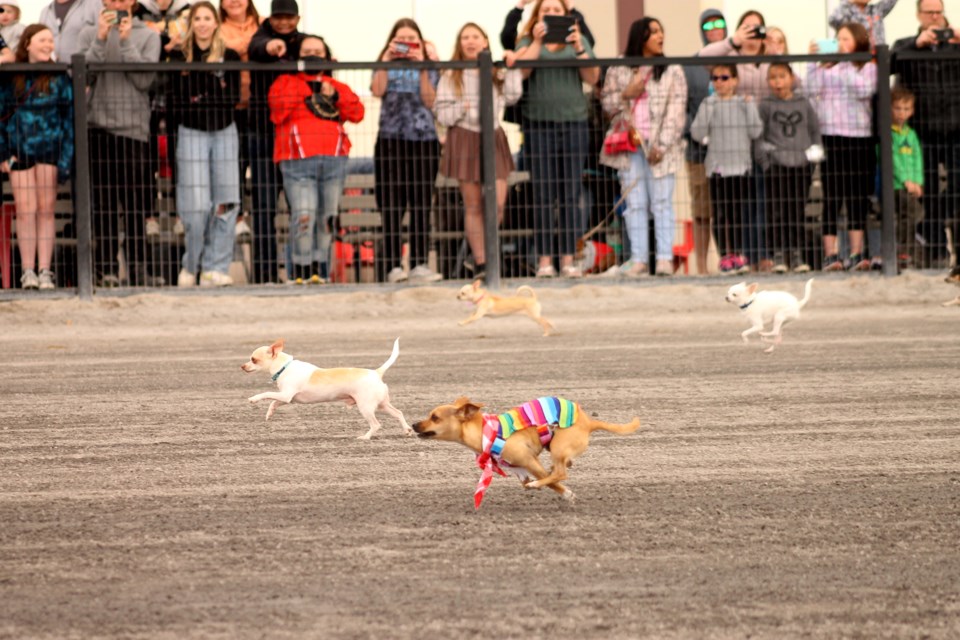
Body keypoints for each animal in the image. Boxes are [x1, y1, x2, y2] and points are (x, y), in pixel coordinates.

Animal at [240, 336, 412, 440]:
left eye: (253, 360)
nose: (242, 366)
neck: (284, 367)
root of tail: (376, 372)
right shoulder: (288, 398)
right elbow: (273, 402)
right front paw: (269, 414)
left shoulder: (286, 395)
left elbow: (266, 393)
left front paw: (253, 399)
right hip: (383, 405)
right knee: (398, 413)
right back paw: (406, 430)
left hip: (366, 407)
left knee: (376, 424)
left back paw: (365, 437)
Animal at [410, 396, 636, 504]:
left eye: (435, 417)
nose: (413, 424)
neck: (484, 432)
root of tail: (589, 422)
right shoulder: (520, 469)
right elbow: (527, 483)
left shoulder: (529, 460)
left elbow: (551, 483)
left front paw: (566, 494)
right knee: (560, 469)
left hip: (558, 446)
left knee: (560, 473)